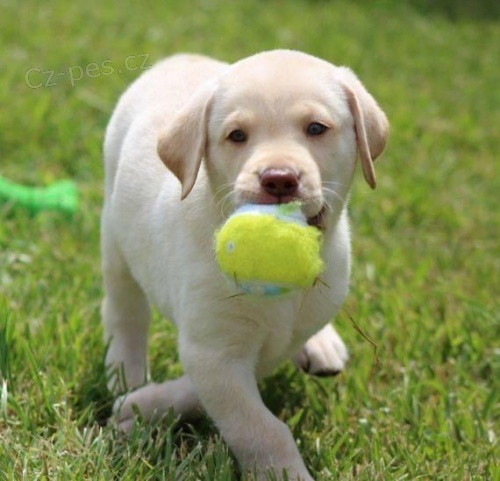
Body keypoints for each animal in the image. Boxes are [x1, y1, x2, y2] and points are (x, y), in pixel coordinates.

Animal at [101, 50, 388, 478]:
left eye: (316, 128)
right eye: (237, 135)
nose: (279, 179)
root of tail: (182, 57)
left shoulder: (275, 339)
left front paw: (148, 406)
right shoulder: (214, 349)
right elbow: (259, 427)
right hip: (115, 236)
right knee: (125, 311)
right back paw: (126, 372)